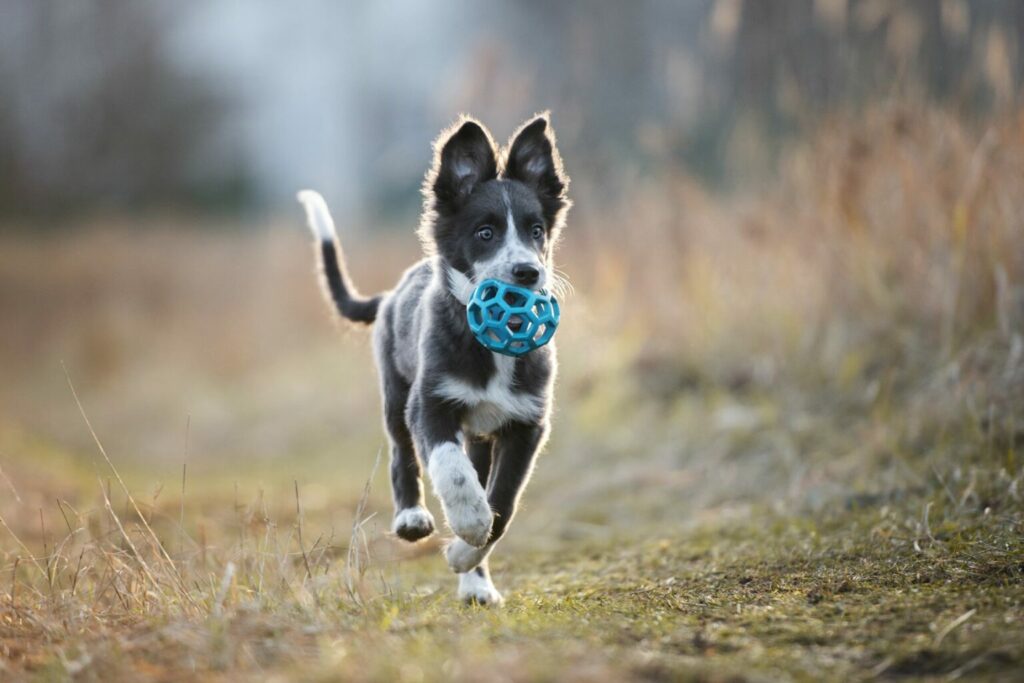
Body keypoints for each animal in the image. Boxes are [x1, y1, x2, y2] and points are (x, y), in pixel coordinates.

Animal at [296, 113, 573, 610]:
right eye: (485, 233)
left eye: (537, 230)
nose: (528, 272)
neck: (493, 347)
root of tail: (390, 294)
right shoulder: (430, 403)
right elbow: (451, 467)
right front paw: (468, 520)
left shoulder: (527, 424)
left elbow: (503, 504)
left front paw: (467, 552)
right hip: (395, 394)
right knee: (402, 453)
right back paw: (411, 516)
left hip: (479, 434)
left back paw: (476, 584)